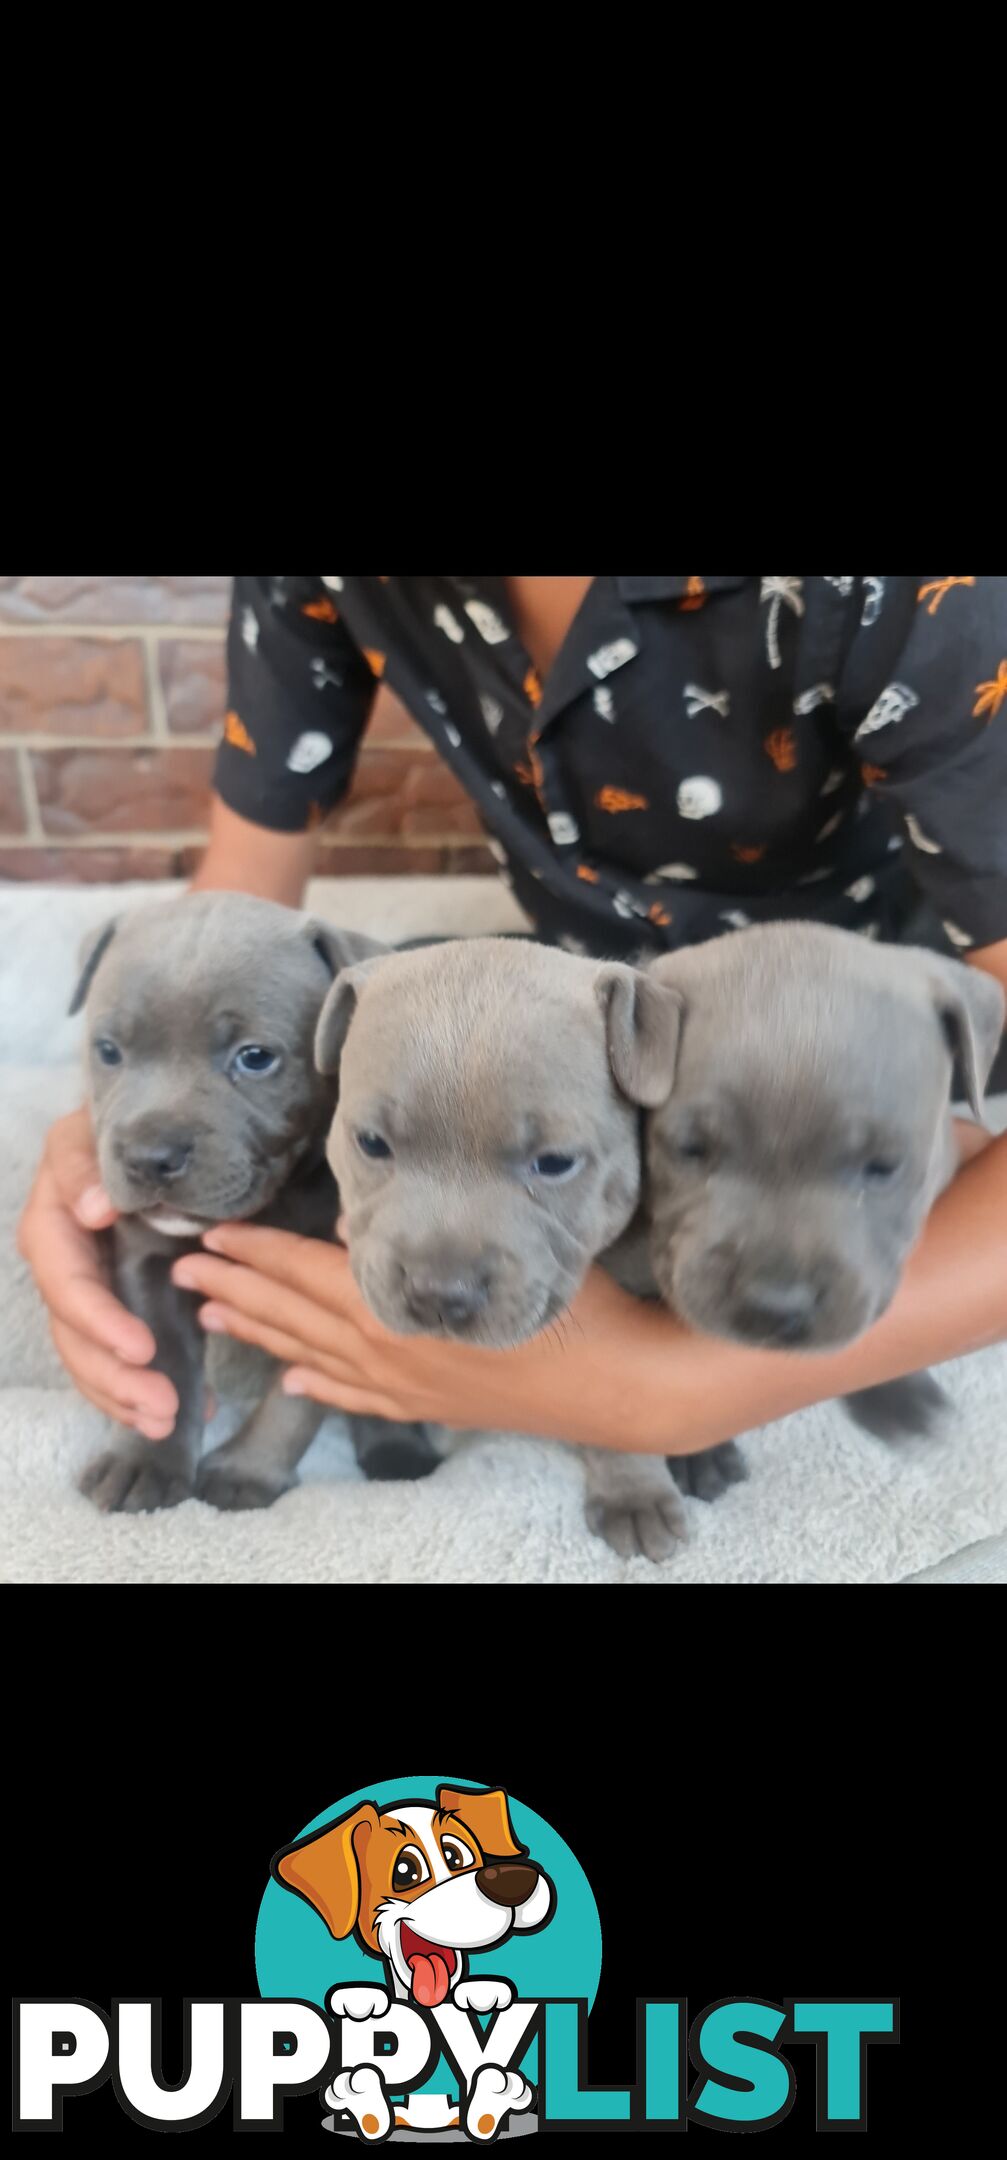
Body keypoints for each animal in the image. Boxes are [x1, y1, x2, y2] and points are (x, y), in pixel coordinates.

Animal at [69, 885, 432, 1512]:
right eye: (109, 1051)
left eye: (256, 1057)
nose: (149, 1157)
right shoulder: (148, 1264)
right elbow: (160, 1368)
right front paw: (143, 1461)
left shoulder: (332, 1303)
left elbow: (296, 1397)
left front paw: (248, 1469)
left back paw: (398, 1450)